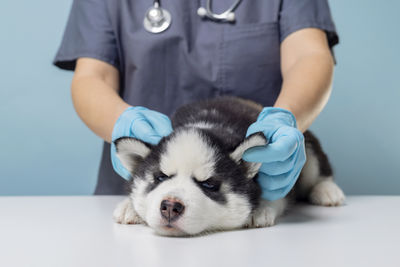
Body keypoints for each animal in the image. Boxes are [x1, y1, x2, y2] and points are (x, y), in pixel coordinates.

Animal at [112, 96, 344, 237]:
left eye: (209, 184)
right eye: (160, 177)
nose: (170, 206)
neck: (208, 123)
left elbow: (277, 194)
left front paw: (260, 208)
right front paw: (130, 206)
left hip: (306, 148)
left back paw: (327, 191)